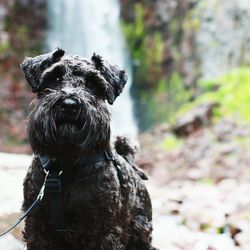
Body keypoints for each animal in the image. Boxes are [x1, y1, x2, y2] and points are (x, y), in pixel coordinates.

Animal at [20, 49, 155, 250]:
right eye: (55, 77)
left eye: (92, 83)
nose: (69, 105)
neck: (65, 162)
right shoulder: (37, 228)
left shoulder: (103, 232)